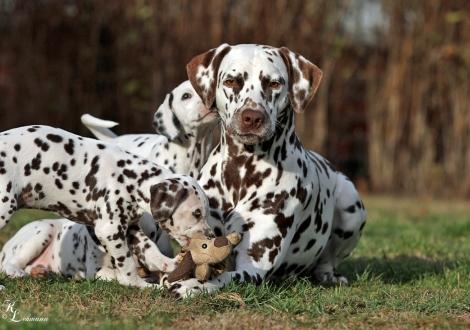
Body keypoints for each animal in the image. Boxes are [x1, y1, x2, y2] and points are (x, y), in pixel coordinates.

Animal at [0, 125, 211, 288]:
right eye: (197, 213)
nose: (210, 237)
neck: (131, 177)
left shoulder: (131, 229)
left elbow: (150, 249)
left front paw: (170, 265)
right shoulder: (110, 230)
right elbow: (126, 263)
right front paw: (138, 284)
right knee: (12, 262)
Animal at [167, 43, 370, 300]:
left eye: (274, 83)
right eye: (231, 81)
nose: (252, 117)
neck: (240, 172)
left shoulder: (253, 268)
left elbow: (221, 277)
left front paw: (191, 285)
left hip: (351, 204)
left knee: (328, 260)